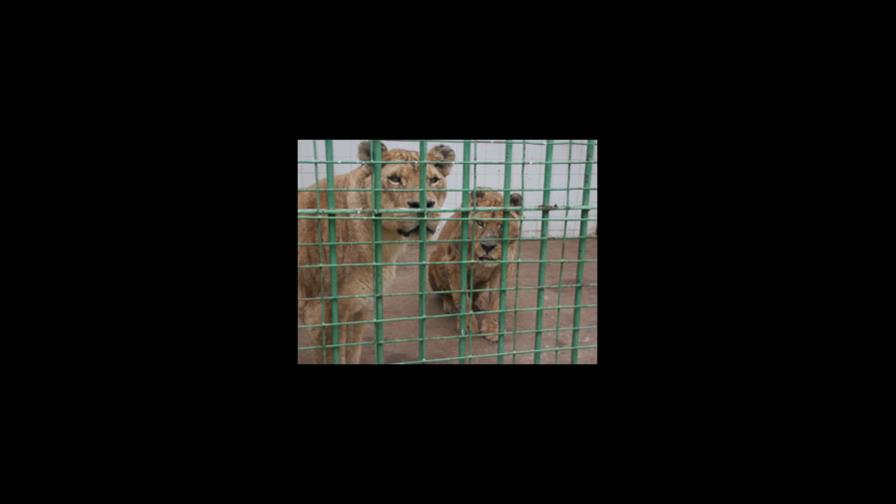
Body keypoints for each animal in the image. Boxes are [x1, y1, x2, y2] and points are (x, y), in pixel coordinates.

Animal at [298, 141, 455, 364]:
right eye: (395, 179)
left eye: (433, 180)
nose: (424, 206)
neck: (385, 242)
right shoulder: (322, 316)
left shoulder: (360, 307)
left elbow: (353, 352)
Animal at [428, 188, 523, 342]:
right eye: (480, 223)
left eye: (502, 226)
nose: (488, 246)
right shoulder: (455, 265)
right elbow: (462, 299)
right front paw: (466, 325)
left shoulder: (503, 268)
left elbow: (495, 301)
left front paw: (491, 327)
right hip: (435, 261)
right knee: (446, 294)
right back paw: (450, 306)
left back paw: (479, 304)